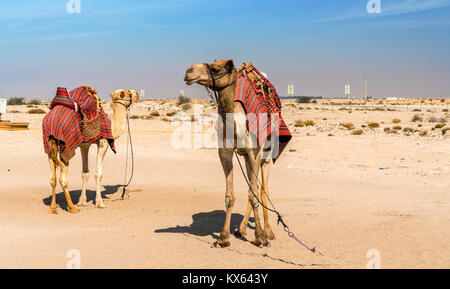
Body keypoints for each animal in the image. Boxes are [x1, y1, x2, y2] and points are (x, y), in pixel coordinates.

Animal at [185, 59, 276, 248]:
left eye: (215, 69)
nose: (188, 71)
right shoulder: (226, 153)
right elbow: (230, 196)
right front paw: (223, 238)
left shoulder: (255, 152)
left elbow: (254, 194)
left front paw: (260, 238)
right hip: (247, 158)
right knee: (254, 187)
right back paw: (241, 229)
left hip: (266, 156)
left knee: (263, 190)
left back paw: (268, 232)